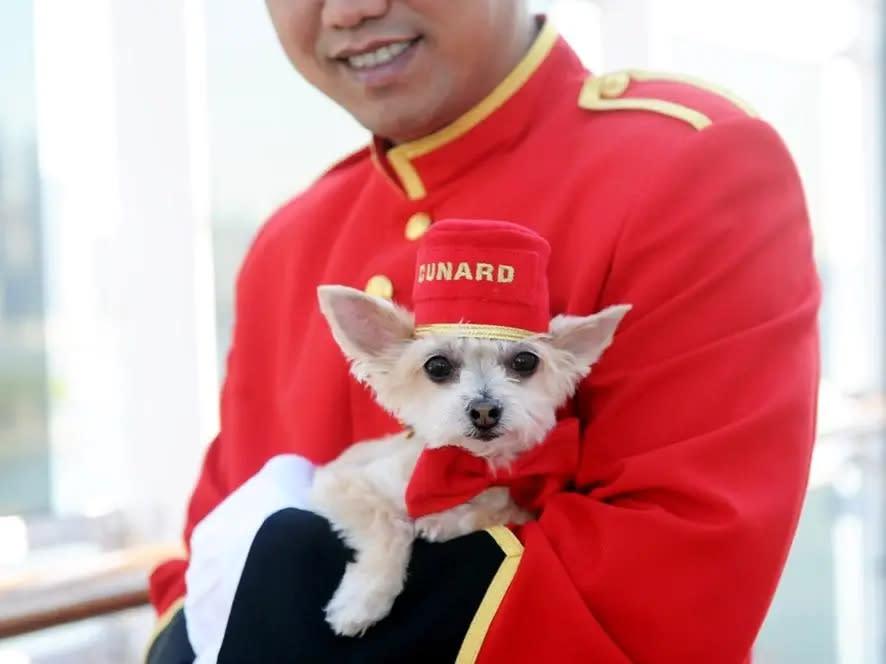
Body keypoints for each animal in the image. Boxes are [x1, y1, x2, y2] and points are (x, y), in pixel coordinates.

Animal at [312, 286, 632, 640]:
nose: (485, 409)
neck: (469, 469)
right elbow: (389, 527)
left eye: (524, 361)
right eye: (437, 366)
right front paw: (362, 600)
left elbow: (501, 507)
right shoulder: (340, 483)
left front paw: (443, 522)